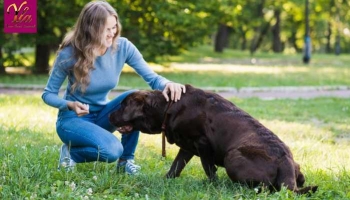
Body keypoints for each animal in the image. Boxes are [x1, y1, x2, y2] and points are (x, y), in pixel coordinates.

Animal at [109, 84, 318, 194]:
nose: (109, 115)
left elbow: (208, 168)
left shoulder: (202, 144)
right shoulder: (187, 147)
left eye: (122, 105)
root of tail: (285, 161)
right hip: (296, 168)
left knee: (265, 188)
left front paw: (212, 185)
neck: (167, 107)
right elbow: (176, 166)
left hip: (233, 156)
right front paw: (165, 180)